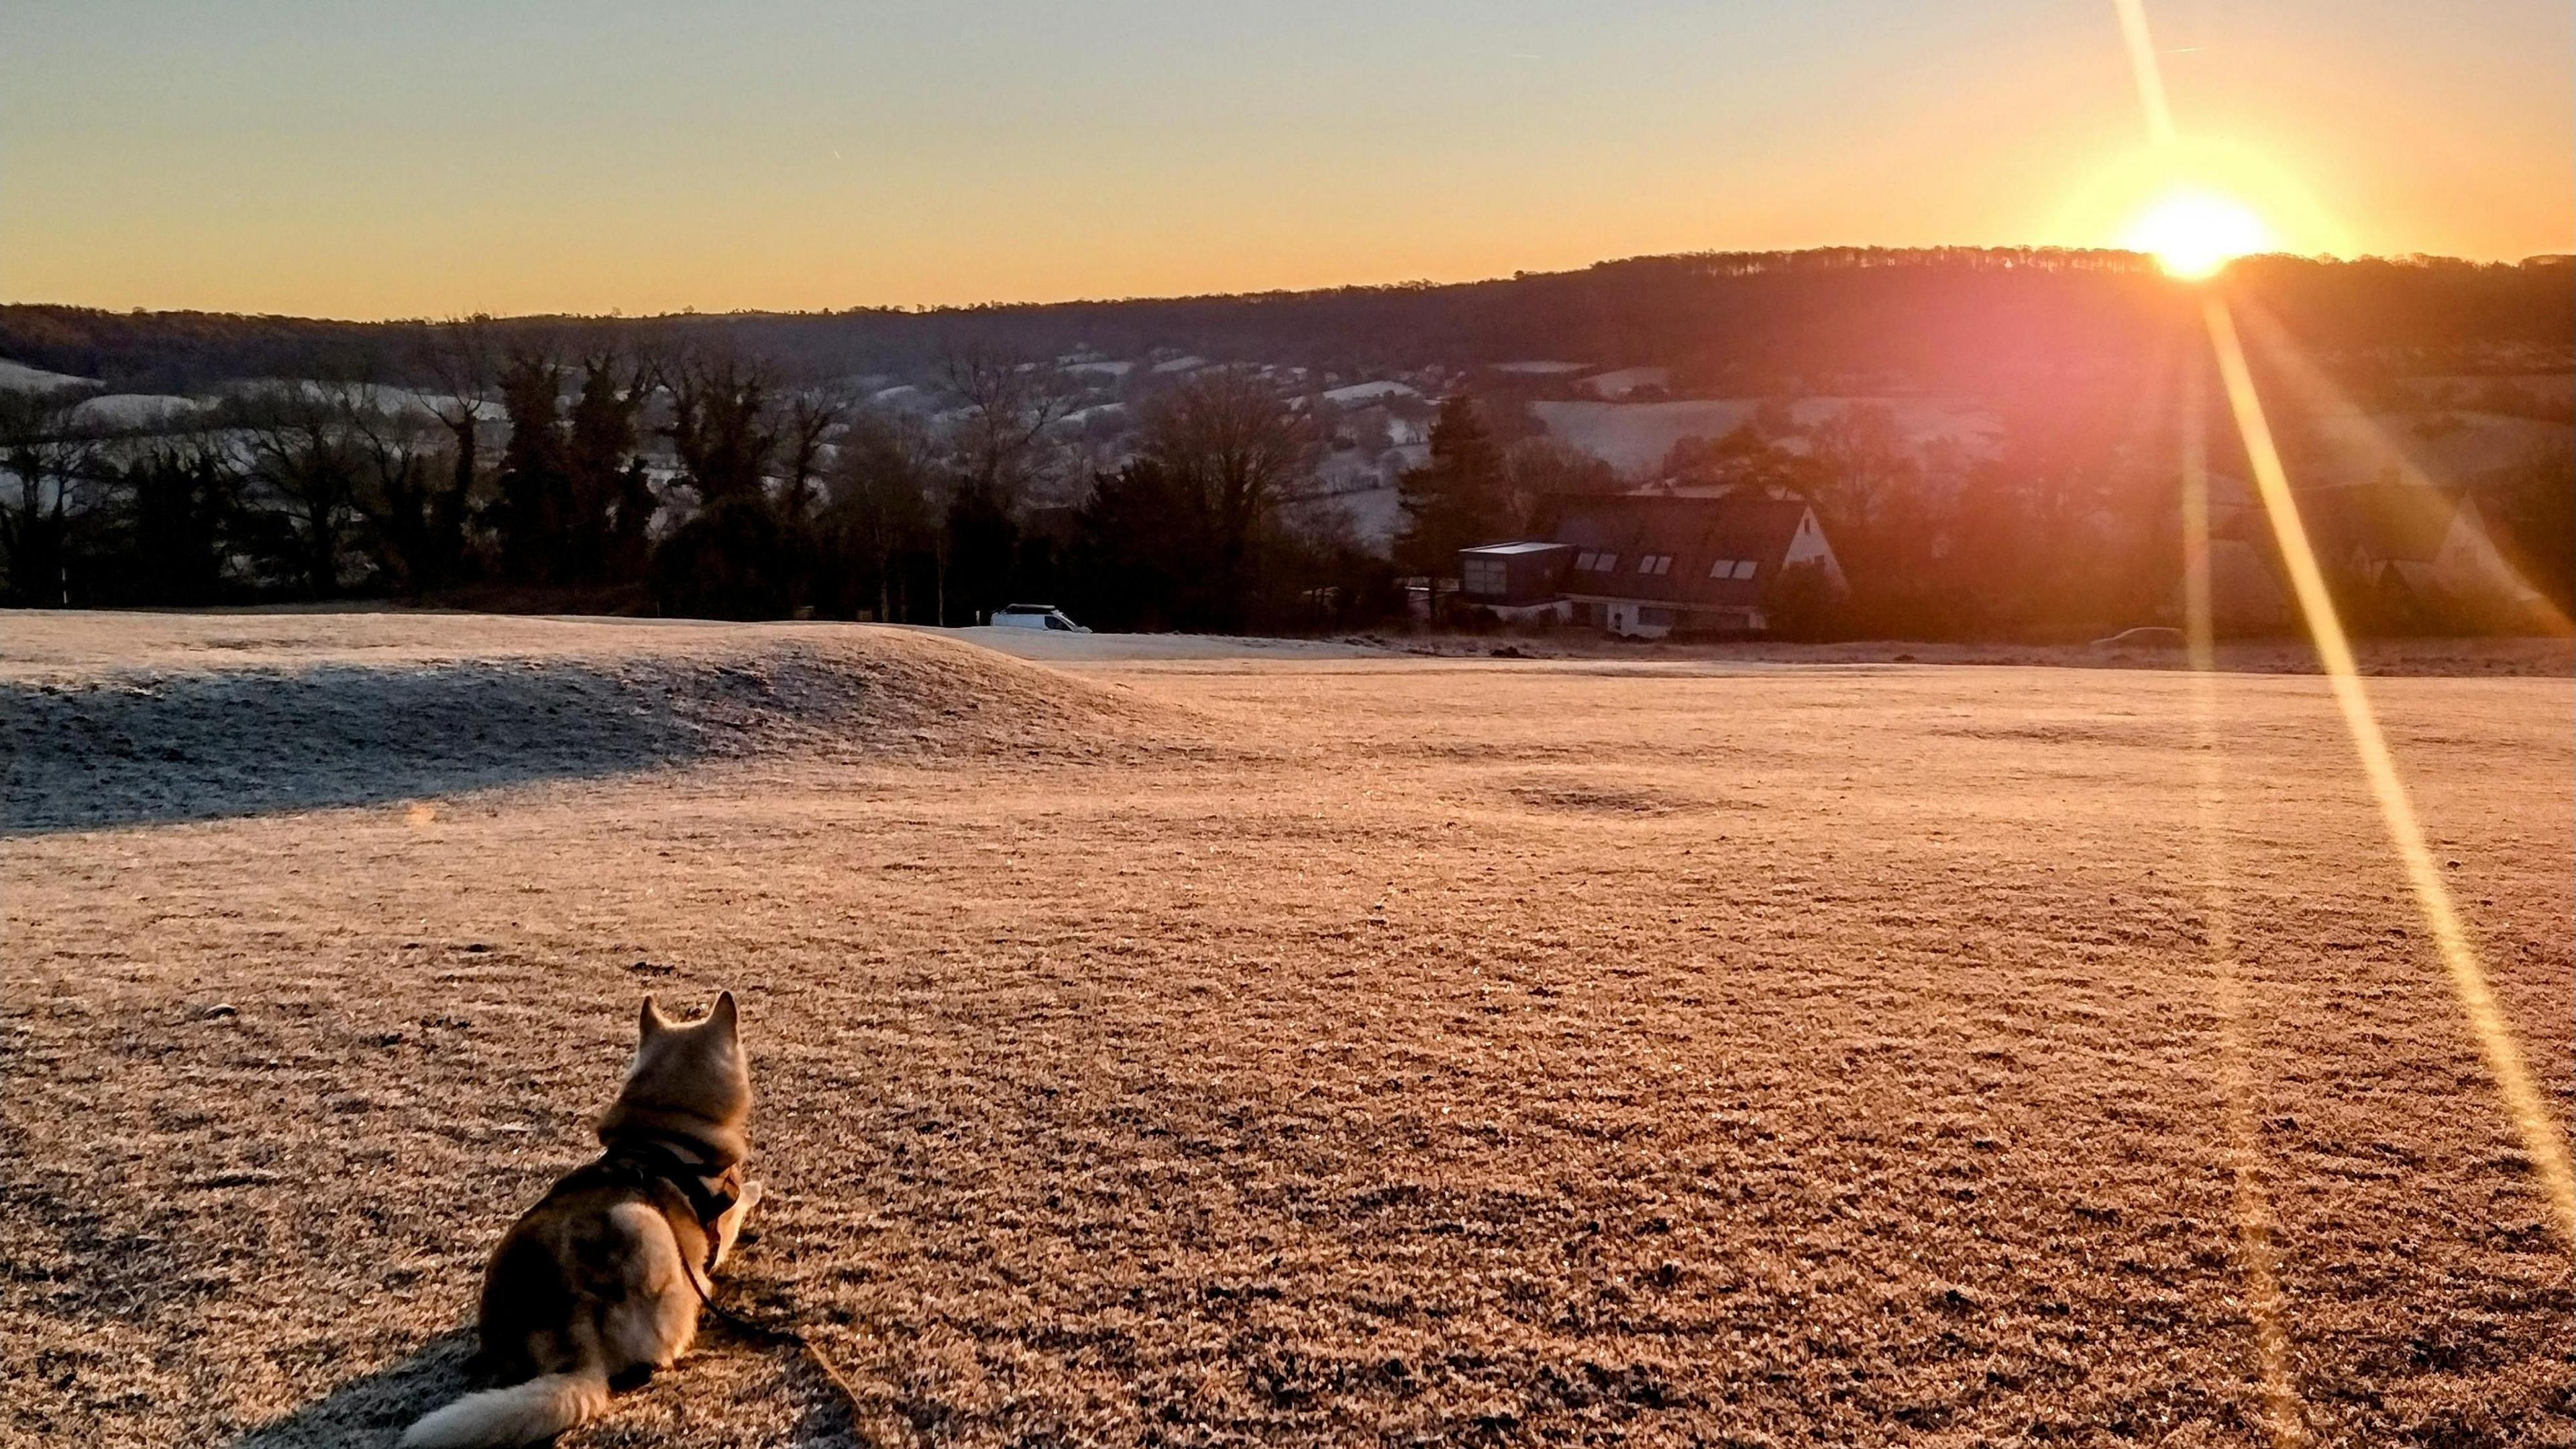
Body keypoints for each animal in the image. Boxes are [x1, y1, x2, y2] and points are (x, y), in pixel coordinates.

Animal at [396, 989, 762, 1444]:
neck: (663, 1134)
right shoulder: (721, 1225)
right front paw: (755, 1188)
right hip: (643, 1223)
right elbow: (741, 1205)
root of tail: (576, 1339)